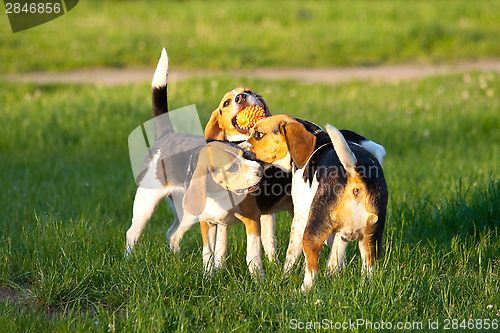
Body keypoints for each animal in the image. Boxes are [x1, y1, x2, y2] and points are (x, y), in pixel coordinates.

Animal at [126, 49, 266, 276]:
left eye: (247, 156)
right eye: (226, 102)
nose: (259, 170)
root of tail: (167, 136)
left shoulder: (244, 219)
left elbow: (238, 253)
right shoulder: (210, 222)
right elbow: (210, 253)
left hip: (187, 212)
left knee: (173, 234)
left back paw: (174, 261)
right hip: (146, 205)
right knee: (132, 234)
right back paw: (128, 261)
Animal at [240, 115, 388, 290]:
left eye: (258, 134)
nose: (239, 150)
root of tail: (354, 173)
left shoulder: (300, 217)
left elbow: (291, 255)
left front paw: (283, 278)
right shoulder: (342, 234)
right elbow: (335, 260)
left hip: (312, 232)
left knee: (312, 269)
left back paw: (302, 292)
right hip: (370, 238)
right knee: (368, 267)